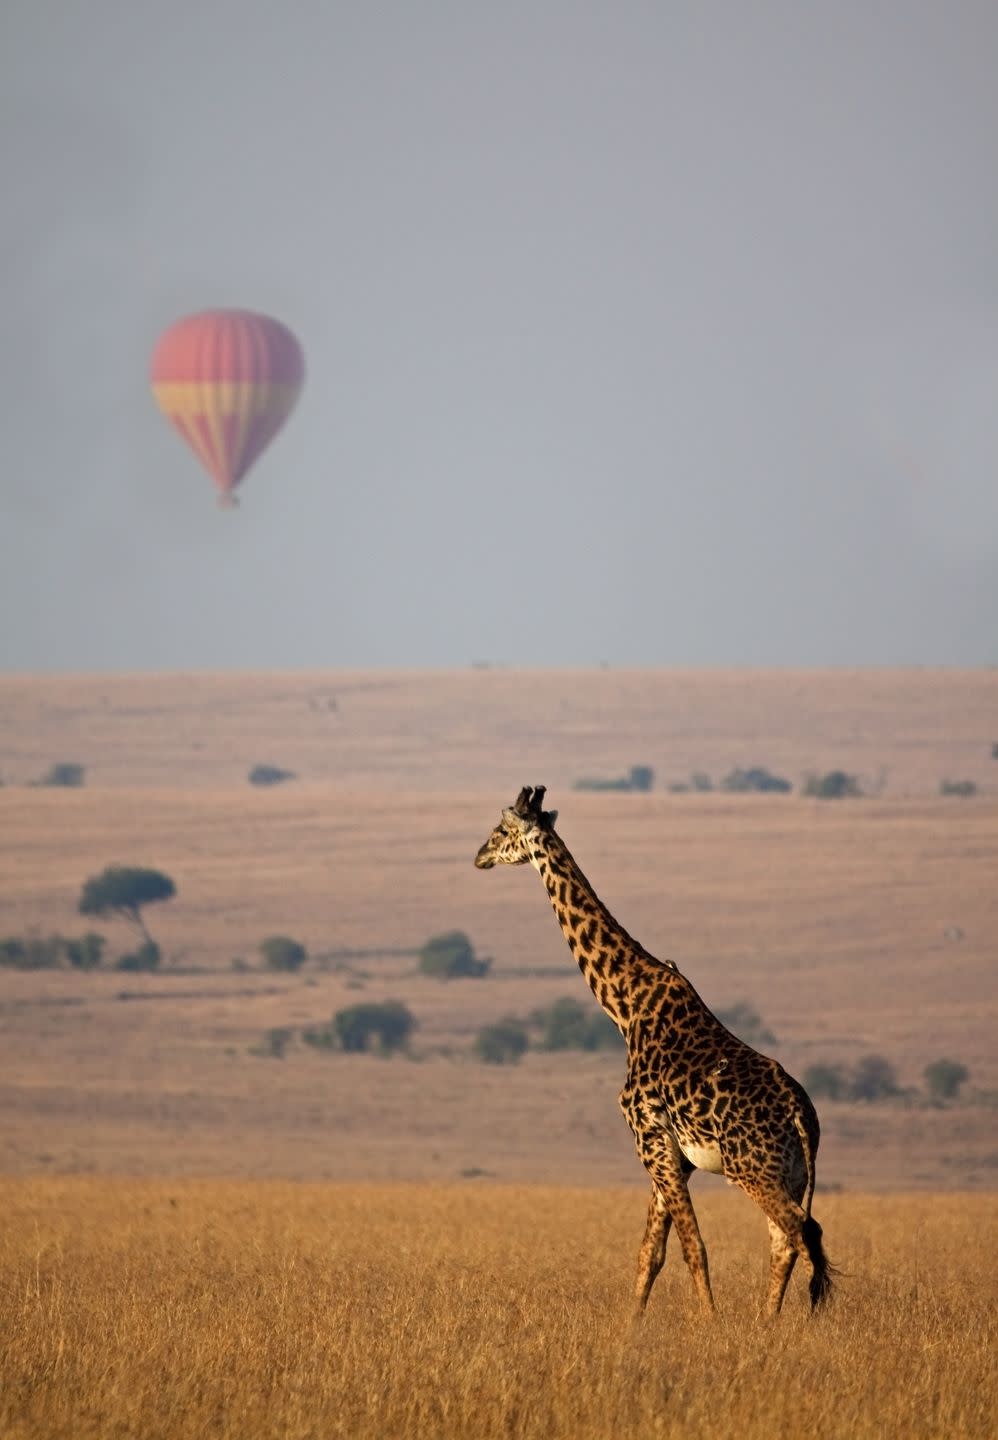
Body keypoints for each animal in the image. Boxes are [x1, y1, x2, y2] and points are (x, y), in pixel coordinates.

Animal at [475, 789, 835, 1319]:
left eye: (501, 831)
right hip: (788, 1172)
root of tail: (801, 1115)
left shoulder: (648, 1137)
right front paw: (631, 1327)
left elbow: (692, 1247)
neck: (623, 1005)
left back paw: (775, 1322)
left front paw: (709, 1323)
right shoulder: (670, 1151)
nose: (478, 856)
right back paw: (768, 1323)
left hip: (752, 1169)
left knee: (797, 1231)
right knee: (790, 1236)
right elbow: (651, 1252)